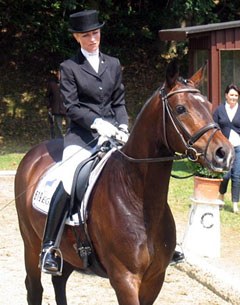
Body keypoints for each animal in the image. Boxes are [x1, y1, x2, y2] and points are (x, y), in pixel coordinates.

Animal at [14, 60, 233, 304]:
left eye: (209, 105)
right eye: (180, 109)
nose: (224, 153)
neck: (139, 198)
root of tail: (34, 153)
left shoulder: (154, 279)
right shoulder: (124, 279)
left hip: (68, 253)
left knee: (59, 281)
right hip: (30, 243)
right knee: (35, 288)